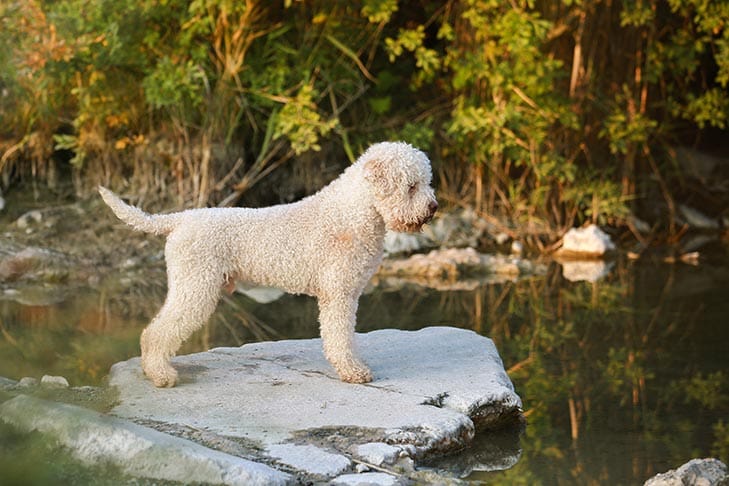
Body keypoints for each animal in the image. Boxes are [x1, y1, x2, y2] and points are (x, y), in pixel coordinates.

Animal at [99, 140, 436, 388]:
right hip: (195, 287)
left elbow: (346, 336)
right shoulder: (338, 294)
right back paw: (161, 375)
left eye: (426, 182)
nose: (433, 207)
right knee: (156, 332)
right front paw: (353, 372)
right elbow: (339, 337)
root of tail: (179, 219)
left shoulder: (347, 295)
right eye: (411, 186)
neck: (352, 214)